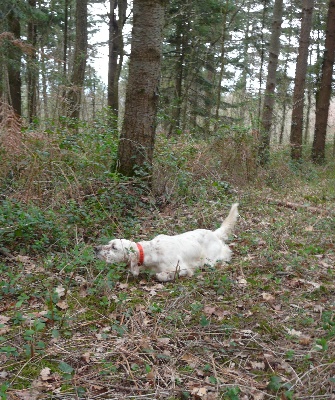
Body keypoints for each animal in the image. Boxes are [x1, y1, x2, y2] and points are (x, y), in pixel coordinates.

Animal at [95, 203, 239, 282]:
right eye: (109, 243)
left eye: (114, 247)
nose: (96, 248)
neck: (151, 252)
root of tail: (214, 233)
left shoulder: (182, 268)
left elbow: (162, 275)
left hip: (210, 260)